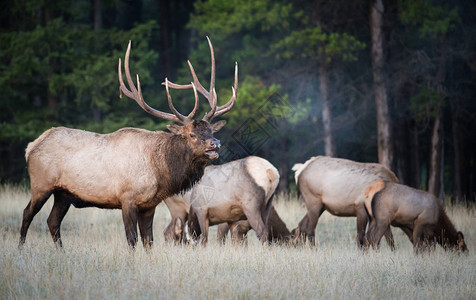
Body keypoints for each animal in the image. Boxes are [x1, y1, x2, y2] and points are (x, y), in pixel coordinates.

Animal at [19, 37, 238, 248]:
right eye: (192, 134)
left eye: (210, 130)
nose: (215, 144)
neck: (160, 170)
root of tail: (31, 147)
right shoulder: (127, 199)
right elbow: (132, 239)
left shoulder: (150, 205)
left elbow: (149, 240)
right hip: (41, 184)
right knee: (28, 213)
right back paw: (21, 248)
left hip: (63, 193)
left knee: (52, 221)